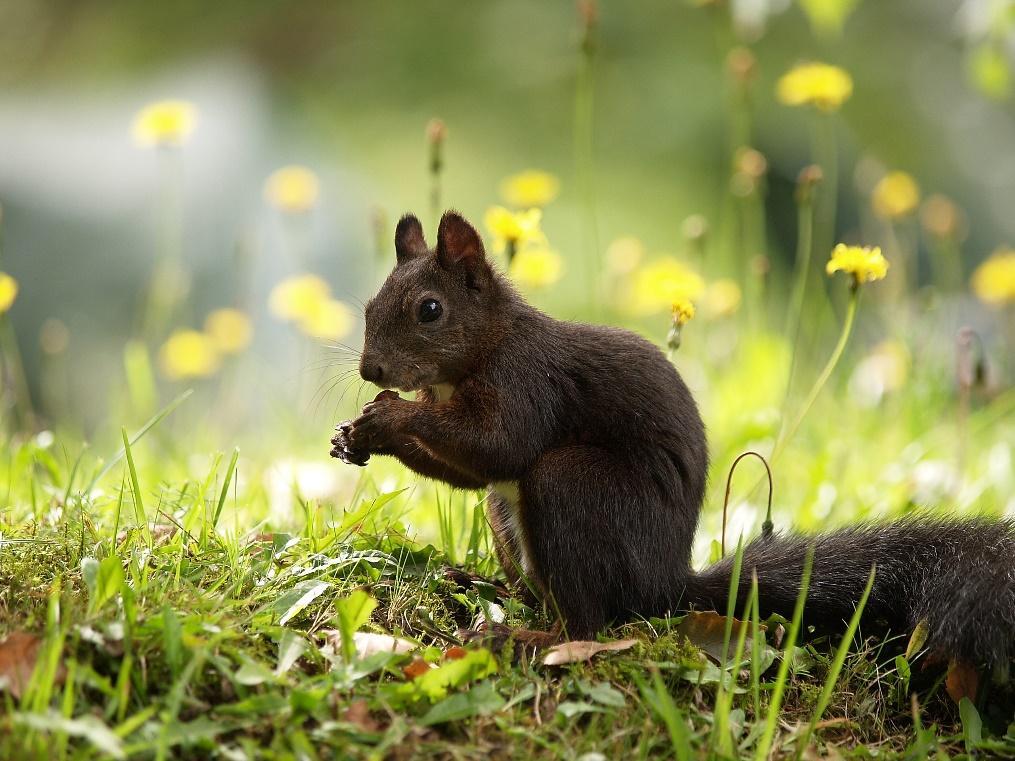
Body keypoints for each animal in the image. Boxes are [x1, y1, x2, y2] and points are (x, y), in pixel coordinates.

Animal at [332, 212, 1015, 669]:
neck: (484, 346)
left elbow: (498, 446)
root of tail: (666, 582)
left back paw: (530, 637)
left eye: (429, 310)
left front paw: (386, 420)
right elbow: (471, 471)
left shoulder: (527, 383)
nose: (371, 370)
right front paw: (355, 434)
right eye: (368, 306)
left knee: (590, 621)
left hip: (574, 489)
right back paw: (492, 588)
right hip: (508, 515)